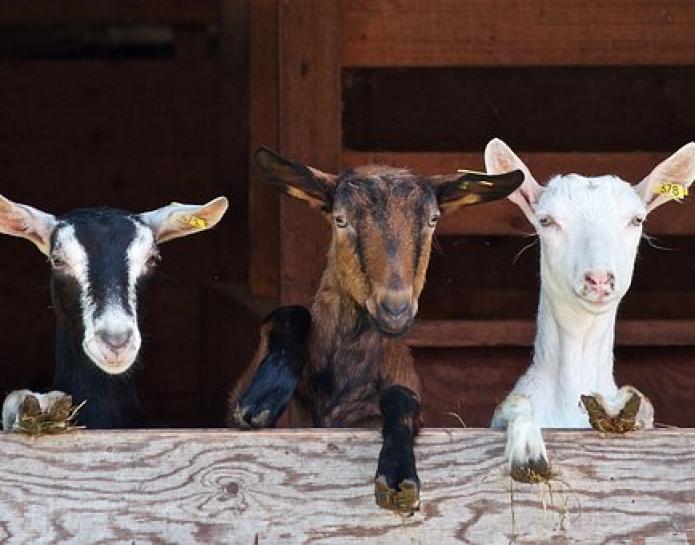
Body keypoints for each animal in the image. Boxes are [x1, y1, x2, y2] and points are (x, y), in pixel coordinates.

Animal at [228, 147, 524, 513]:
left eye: (432, 220)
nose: (395, 309)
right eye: (340, 219)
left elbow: (403, 399)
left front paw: (398, 475)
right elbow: (289, 314)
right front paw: (263, 398)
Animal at [486, 138, 695, 480]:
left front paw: (617, 409)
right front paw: (528, 452)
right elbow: (514, 403)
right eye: (546, 220)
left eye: (637, 220)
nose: (598, 279)